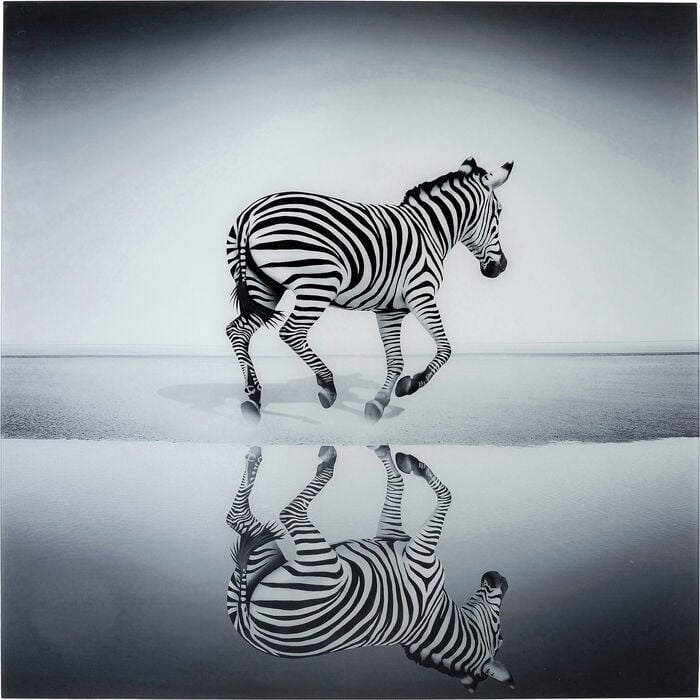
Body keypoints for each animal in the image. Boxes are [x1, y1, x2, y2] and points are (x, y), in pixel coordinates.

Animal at [225, 156, 513, 423]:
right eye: (499, 212)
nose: (501, 266)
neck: (430, 230)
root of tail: (252, 213)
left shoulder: (390, 311)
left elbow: (396, 360)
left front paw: (380, 402)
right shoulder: (421, 293)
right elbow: (445, 348)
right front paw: (411, 384)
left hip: (264, 288)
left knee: (237, 330)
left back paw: (253, 395)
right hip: (319, 283)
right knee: (291, 332)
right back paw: (327, 385)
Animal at [226, 445, 514, 694]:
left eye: (499, 637)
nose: (501, 577)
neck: (434, 617)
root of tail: (250, 630)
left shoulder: (421, 557)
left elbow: (446, 495)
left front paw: (415, 466)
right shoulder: (395, 535)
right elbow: (398, 485)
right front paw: (390, 455)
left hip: (327, 568)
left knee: (280, 513)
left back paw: (323, 461)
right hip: (265, 554)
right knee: (237, 518)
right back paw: (256, 460)